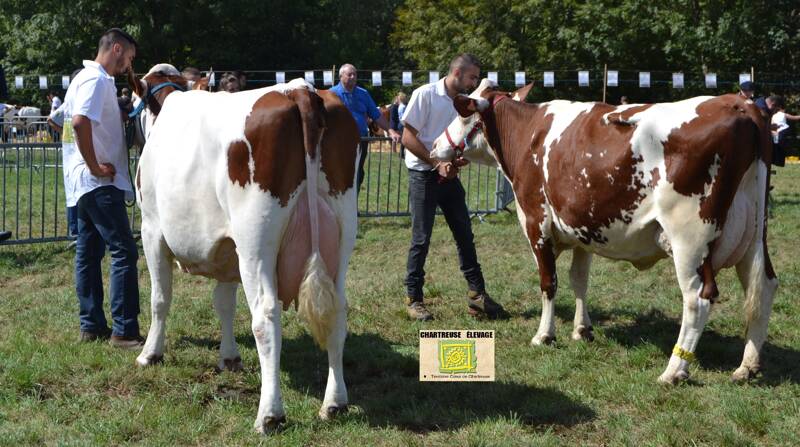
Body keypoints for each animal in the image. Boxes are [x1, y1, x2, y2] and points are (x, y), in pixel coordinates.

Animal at [434, 80, 780, 384]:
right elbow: (579, 279)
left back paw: (674, 370)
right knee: (763, 287)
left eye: (462, 115)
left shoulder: (537, 223)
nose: (436, 146)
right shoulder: (581, 227)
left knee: (698, 298)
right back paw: (747, 367)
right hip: (753, 234)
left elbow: (548, 283)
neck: (528, 134)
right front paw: (582, 330)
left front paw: (544, 335)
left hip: (689, 238)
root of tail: (740, 103)